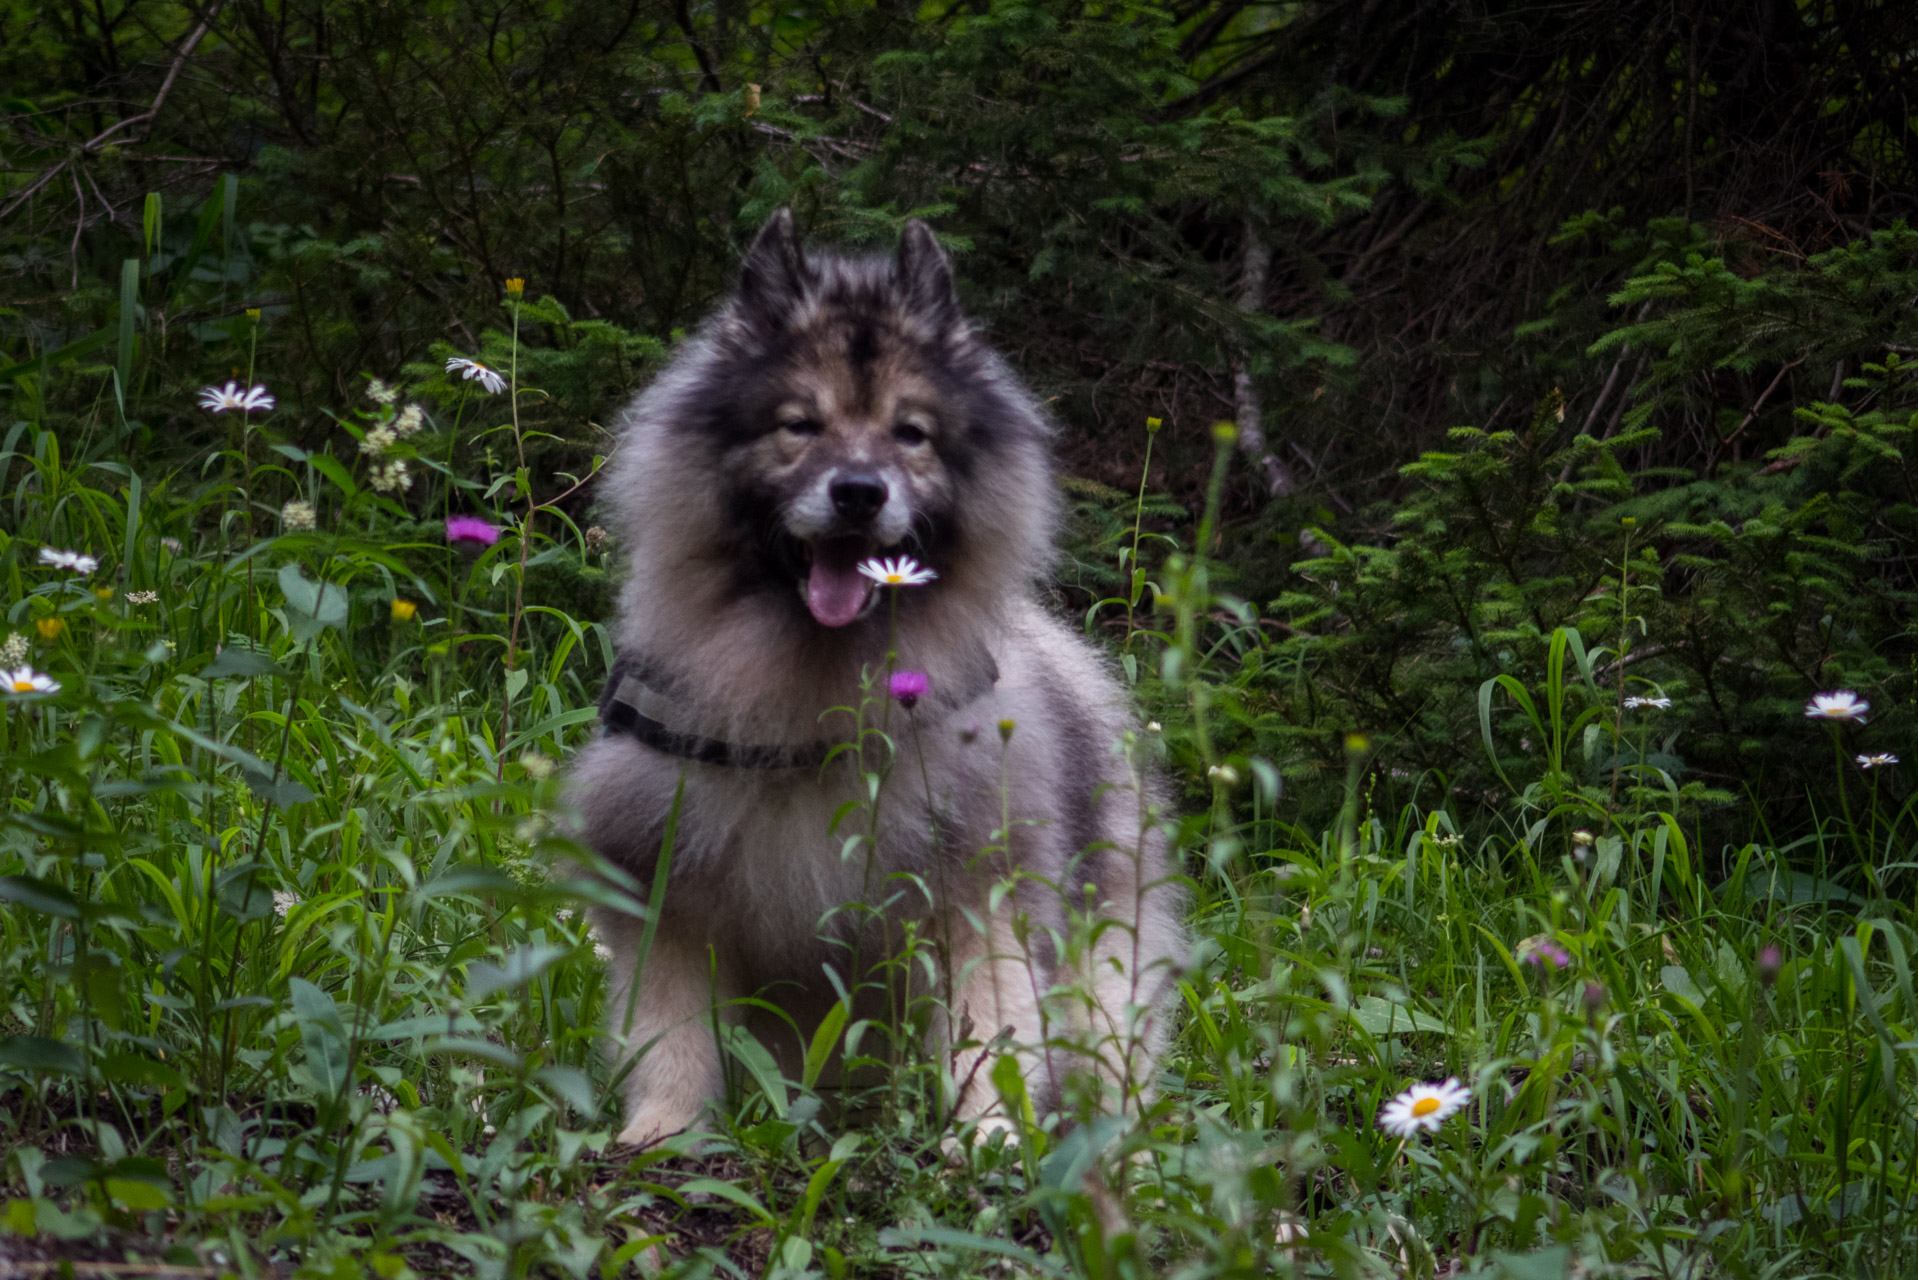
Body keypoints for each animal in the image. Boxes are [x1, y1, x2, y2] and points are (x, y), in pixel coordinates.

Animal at [560, 213, 1173, 1151]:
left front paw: (986, 1136)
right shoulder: (663, 881)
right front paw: (666, 1128)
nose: (857, 491)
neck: (813, 686)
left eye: (910, 433)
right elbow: (673, 1028)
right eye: (799, 425)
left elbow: (987, 1026)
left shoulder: (973, 889)